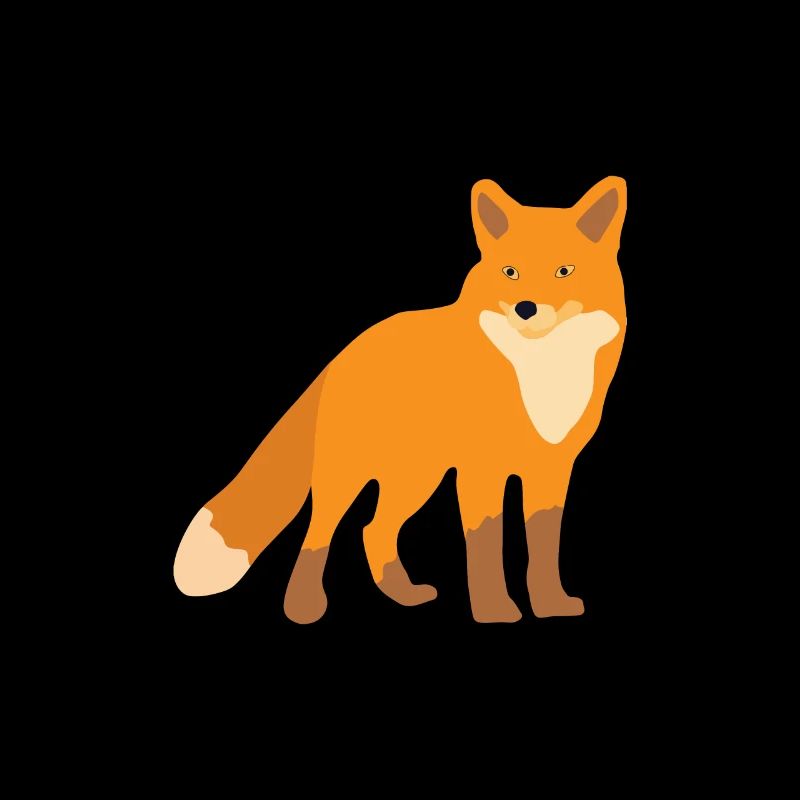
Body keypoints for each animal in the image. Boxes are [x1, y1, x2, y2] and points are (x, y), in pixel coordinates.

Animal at [174, 176, 627, 623]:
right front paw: (494, 610)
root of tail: (344, 352)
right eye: (510, 272)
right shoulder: (481, 470)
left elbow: (544, 550)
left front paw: (551, 607)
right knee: (320, 530)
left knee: (372, 529)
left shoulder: (552, 470)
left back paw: (402, 595)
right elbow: (485, 546)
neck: (541, 374)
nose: (526, 308)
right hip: (349, 472)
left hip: (417, 478)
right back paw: (303, 607)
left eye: (564, 271)